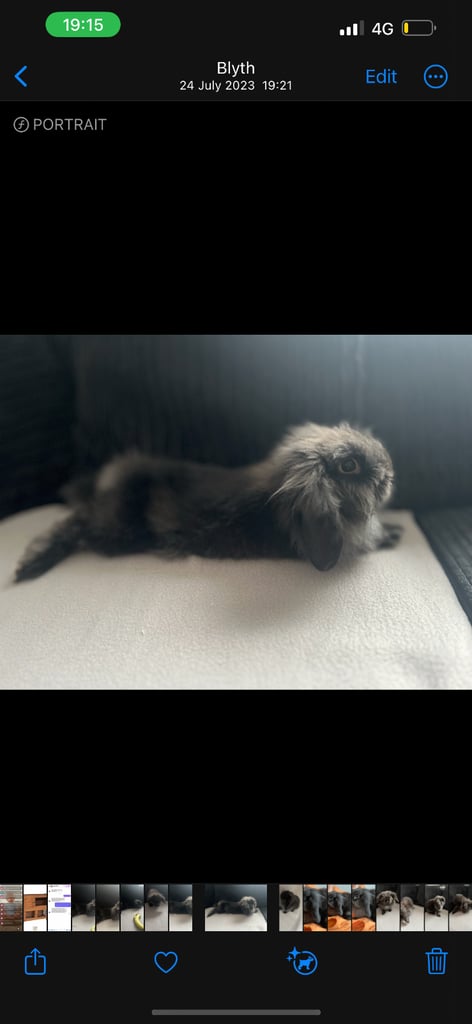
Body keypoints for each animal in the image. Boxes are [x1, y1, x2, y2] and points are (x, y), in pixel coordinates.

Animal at [14, 421, 401, 582]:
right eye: (349, 466)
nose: (390, 467)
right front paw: (393, 534)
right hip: (113, 532)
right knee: (75, 525)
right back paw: (30, 566)